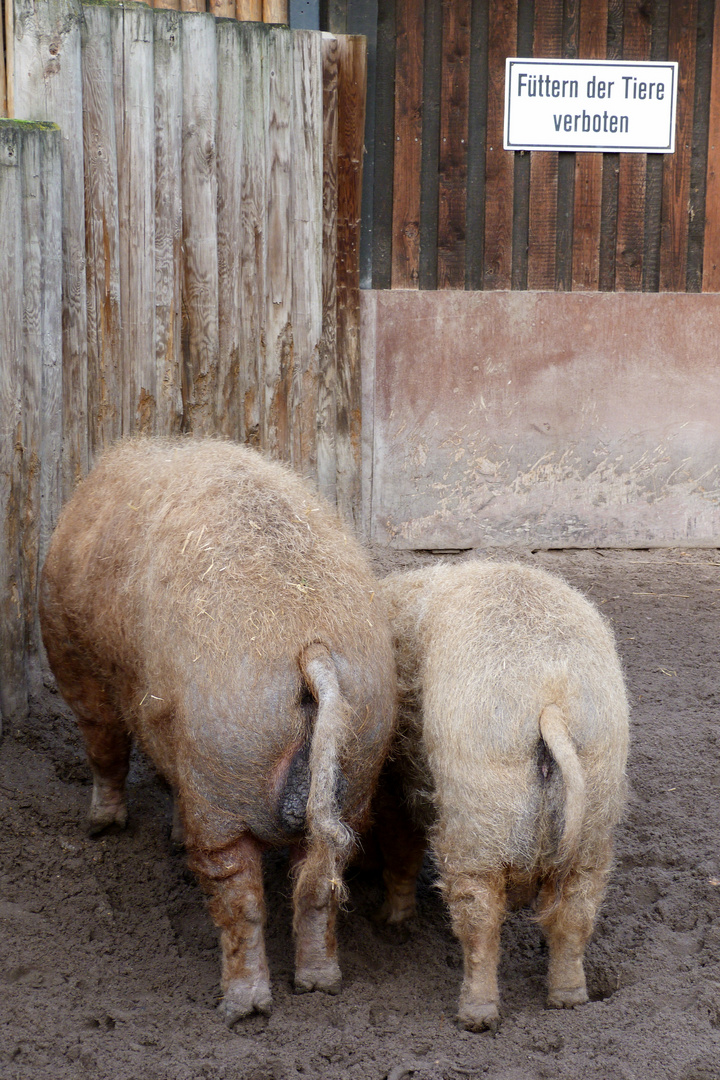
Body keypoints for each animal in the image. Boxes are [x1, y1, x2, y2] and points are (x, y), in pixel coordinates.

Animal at [38, 434, 395, 1023]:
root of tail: (311, 645)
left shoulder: (76, 662)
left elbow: (104, 745)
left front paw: (101, 828)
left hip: (224, 756)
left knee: (237, 891)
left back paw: (240, 1008)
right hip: (362, 747)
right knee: (320, 882)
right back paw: (319, 985)